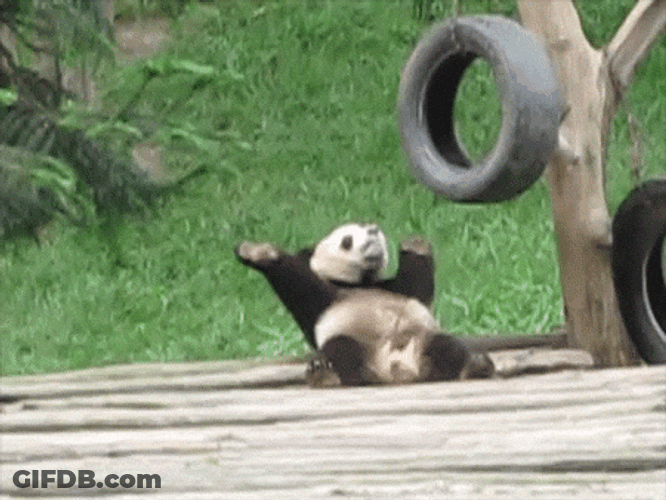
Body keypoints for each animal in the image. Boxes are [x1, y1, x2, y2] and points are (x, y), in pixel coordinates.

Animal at [235, 223, 493, 387]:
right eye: (347, 240)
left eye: (367, 227)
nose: (373, 230)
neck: (361, 281)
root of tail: (393, 368)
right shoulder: (325, 300)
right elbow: (300, 285)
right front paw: (259, 252)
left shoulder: (395, 290)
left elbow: (418, 288)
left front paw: (415, 245)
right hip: (356, 342)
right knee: (342, 350)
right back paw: (328, 375)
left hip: (422, 338)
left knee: (445, 346)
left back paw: (473, 366)